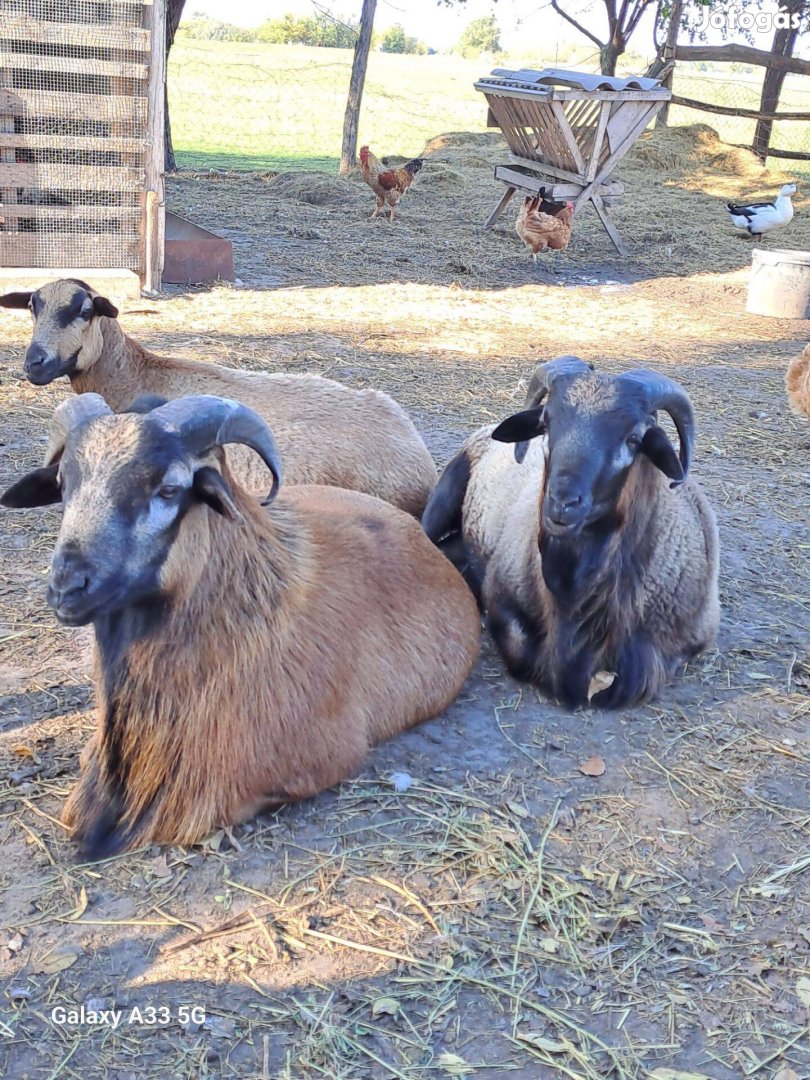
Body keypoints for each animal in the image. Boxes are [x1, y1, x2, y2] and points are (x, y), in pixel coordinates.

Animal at [421, 354, 721, 708]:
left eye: (634, 439)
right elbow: (524, 654)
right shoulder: (501, 597)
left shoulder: (690, 638)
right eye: (547, 422)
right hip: (444, 496)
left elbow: (631, 680)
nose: (562, 503)